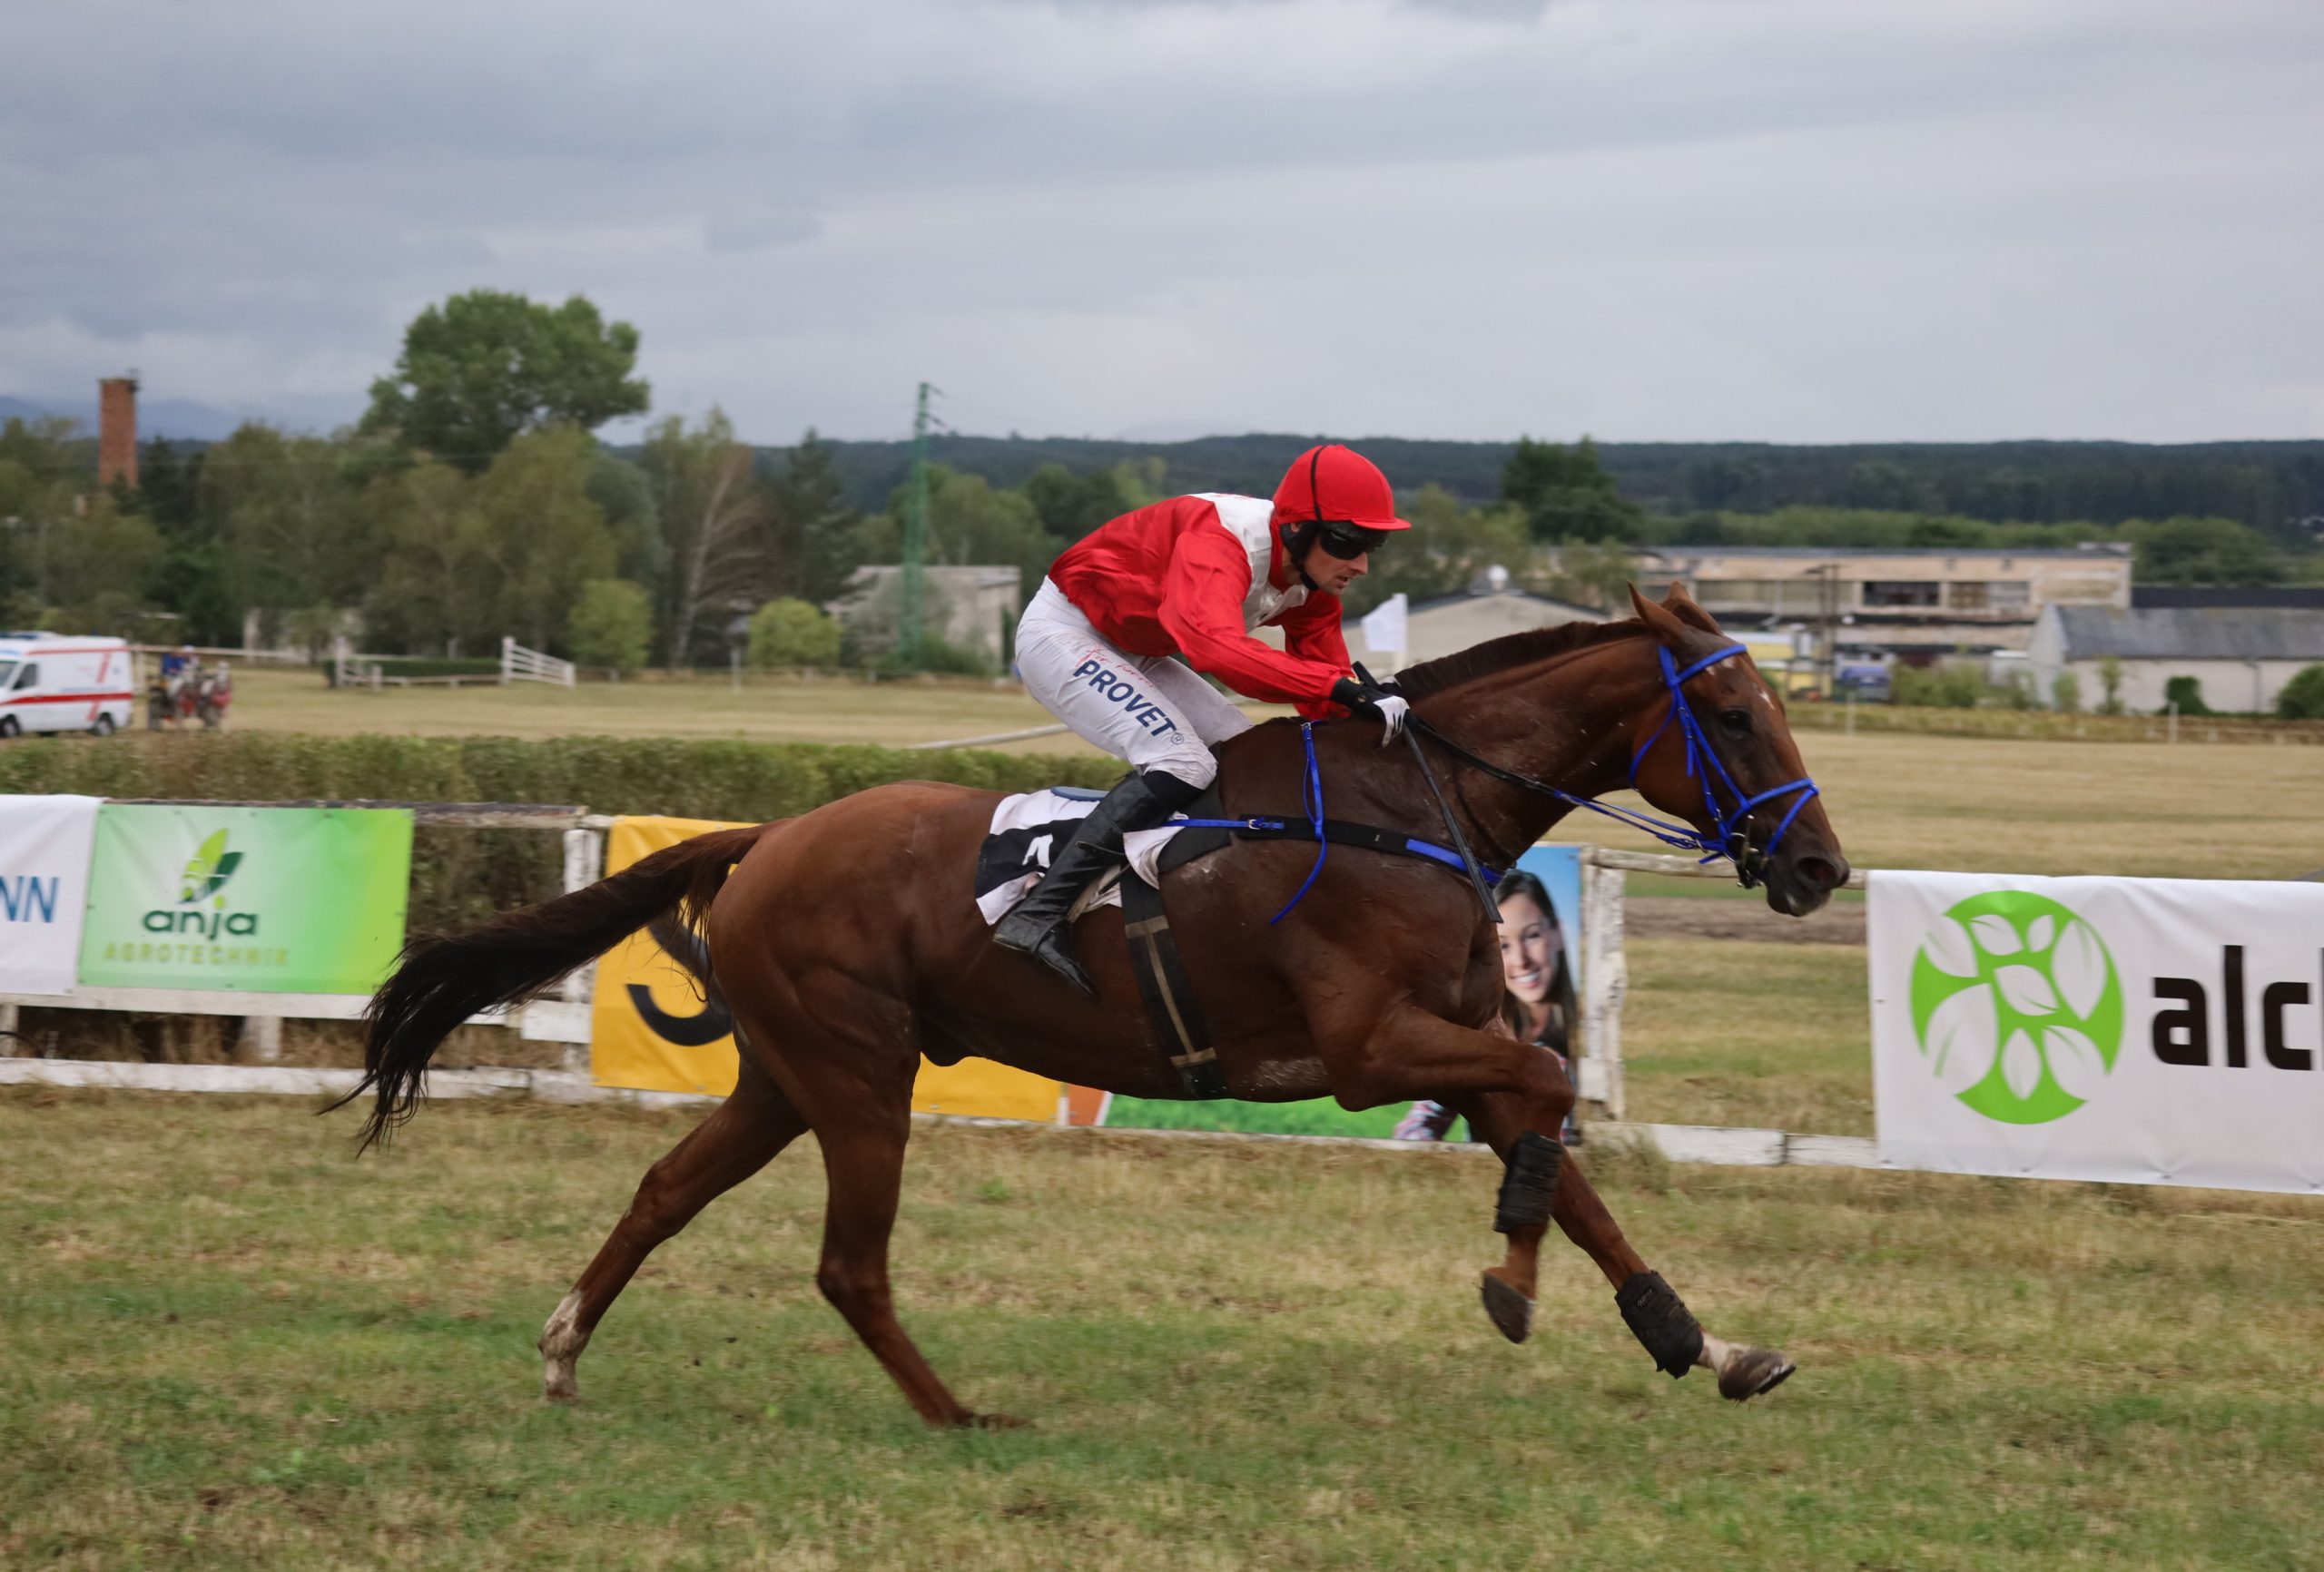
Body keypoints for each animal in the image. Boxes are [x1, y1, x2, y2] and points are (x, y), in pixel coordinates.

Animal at [339, 585, 1849, 1420]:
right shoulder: (1373, 1049)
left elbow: (1567, 1161)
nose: (1821, 867)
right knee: (848, 1263)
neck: (1410, 806)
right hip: (859, 1078)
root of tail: (764, 838)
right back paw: (958, 1416)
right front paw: (1509, 1284)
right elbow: (1543, 1104)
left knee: (663, 1191)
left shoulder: (1459, 1045)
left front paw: (1706, 1345)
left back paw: (562, 1356)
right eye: (1731, 716)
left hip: (784, 1076)